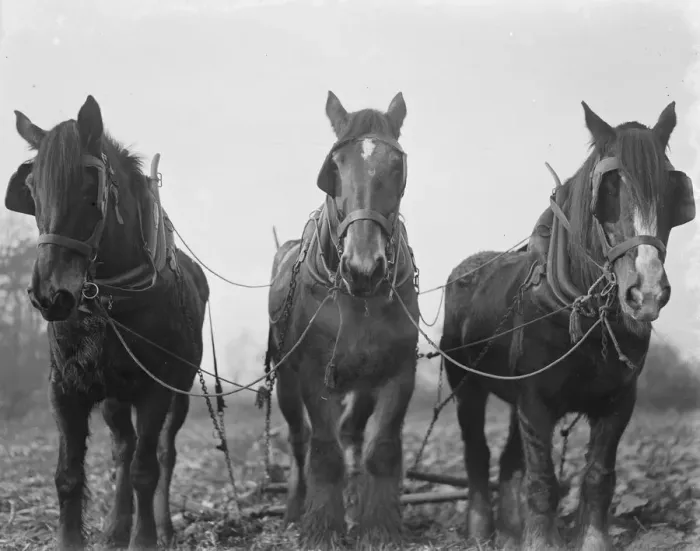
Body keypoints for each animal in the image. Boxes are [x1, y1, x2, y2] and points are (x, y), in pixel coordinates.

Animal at [5, 95, 209, 551]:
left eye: (87, 187)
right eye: (32, 189)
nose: (49, 295)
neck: (109, 299)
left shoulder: (155, 388)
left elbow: (146, 470)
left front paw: (145, 538)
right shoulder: (65, 387)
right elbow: (68, 476)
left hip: (179, 391)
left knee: (162, 453)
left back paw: (163, 526)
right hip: (114, 396)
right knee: (123, 448)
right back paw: (117, 525)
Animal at [265, 91, 420, 549]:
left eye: (397, 164)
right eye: (335, 166)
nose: (363, 267)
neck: (359, 299)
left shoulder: (398, 372)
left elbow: (380, 447)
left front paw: (379, 526)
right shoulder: (316, 375)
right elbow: (324, 449)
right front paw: (321, 527)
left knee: (353, 433)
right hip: (286, 378)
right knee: (300, 439)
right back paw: (296, 509)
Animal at [440, 101, 695, 550]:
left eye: (671, 191)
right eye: (608, 190)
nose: (646, 293)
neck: (587, 314)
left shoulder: (618, 401)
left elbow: (597, 476)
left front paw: (589, 539)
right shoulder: (536, 401)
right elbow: (543, 480)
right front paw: (540, 542)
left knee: (508, 461)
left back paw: (510, 532)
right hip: (465, 385)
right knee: (478, 454)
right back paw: (480, 530)